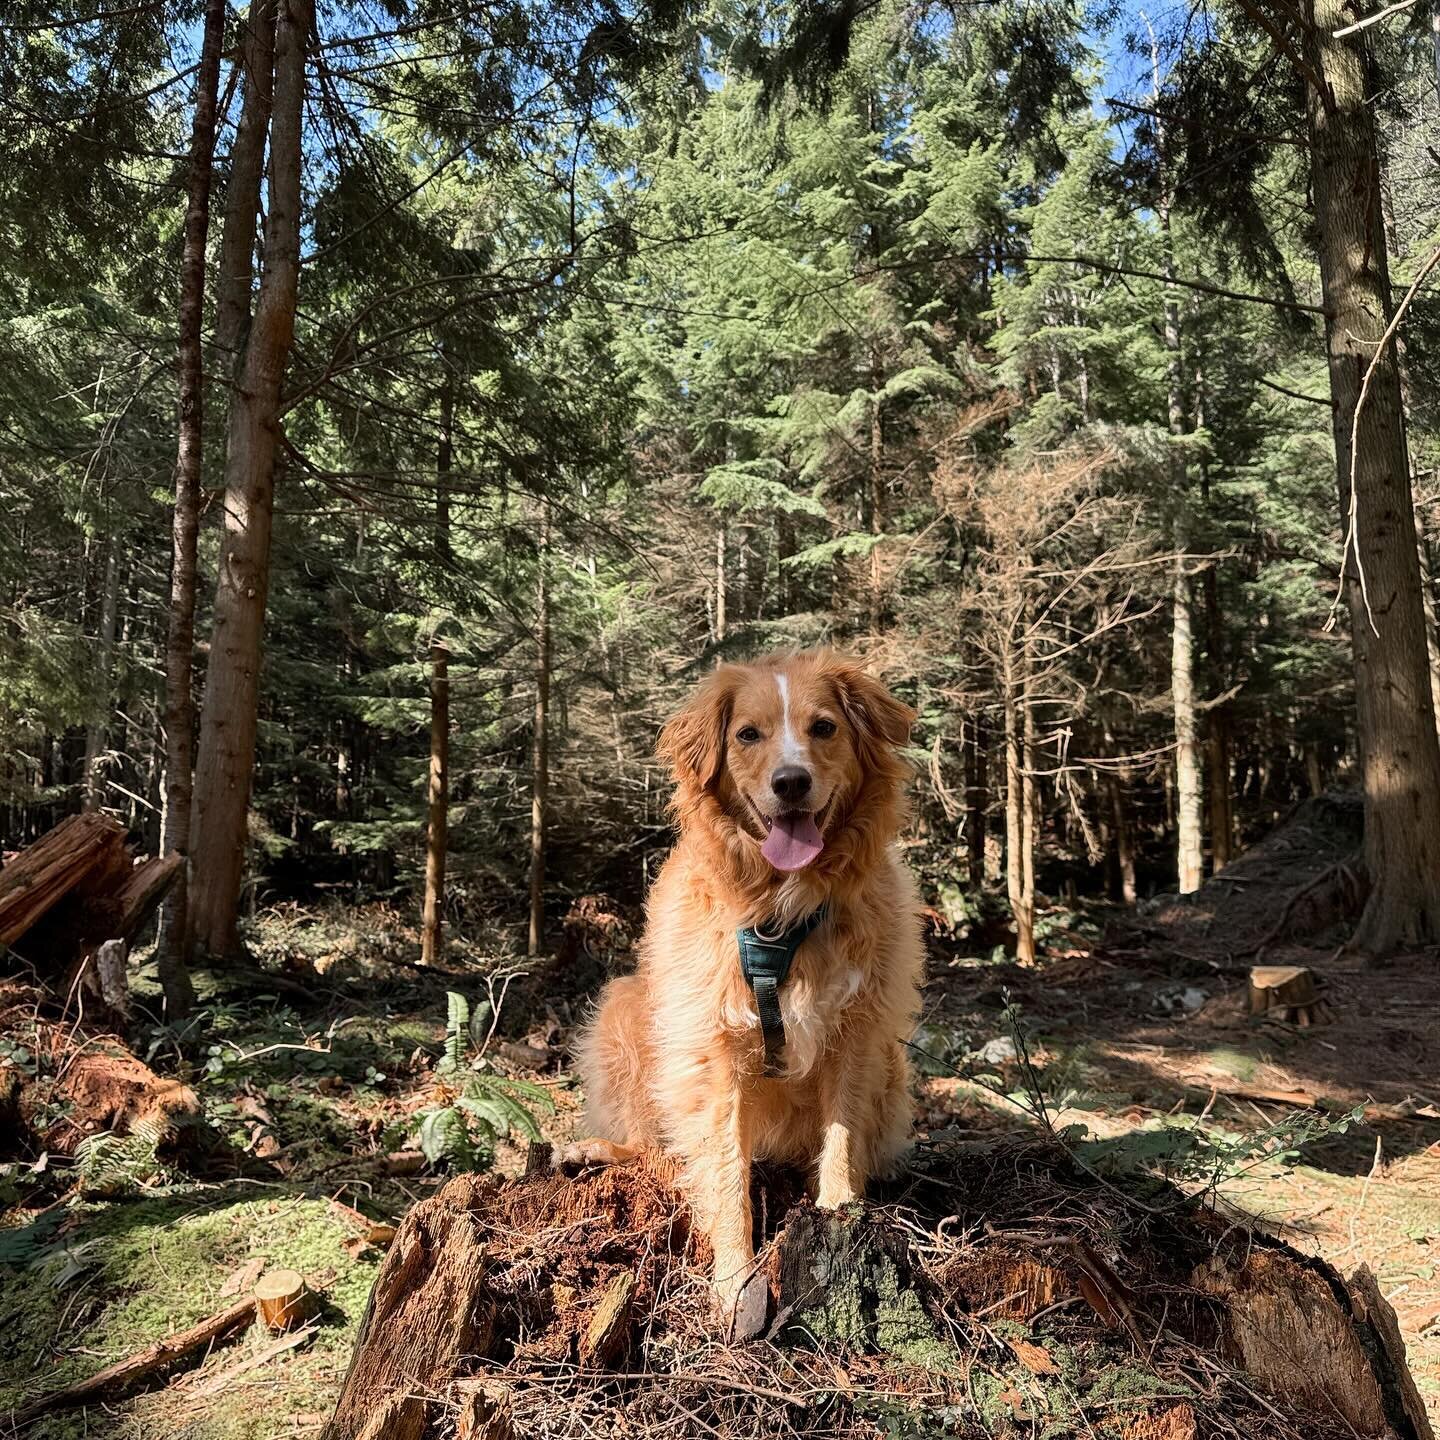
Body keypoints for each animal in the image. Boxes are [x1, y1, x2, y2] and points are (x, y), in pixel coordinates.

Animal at [570, 650, 921, 1324]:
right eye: (747, 735)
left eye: (824, 728)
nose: (791, 783)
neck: (782, 911)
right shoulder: (713, 1050)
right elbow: (726, 1171)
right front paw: (735, 1279)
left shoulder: (858, 1031)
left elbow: (841, 1139)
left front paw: (839, 1222)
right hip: (625, 1010)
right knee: (653, 1147)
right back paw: (598, 1152)